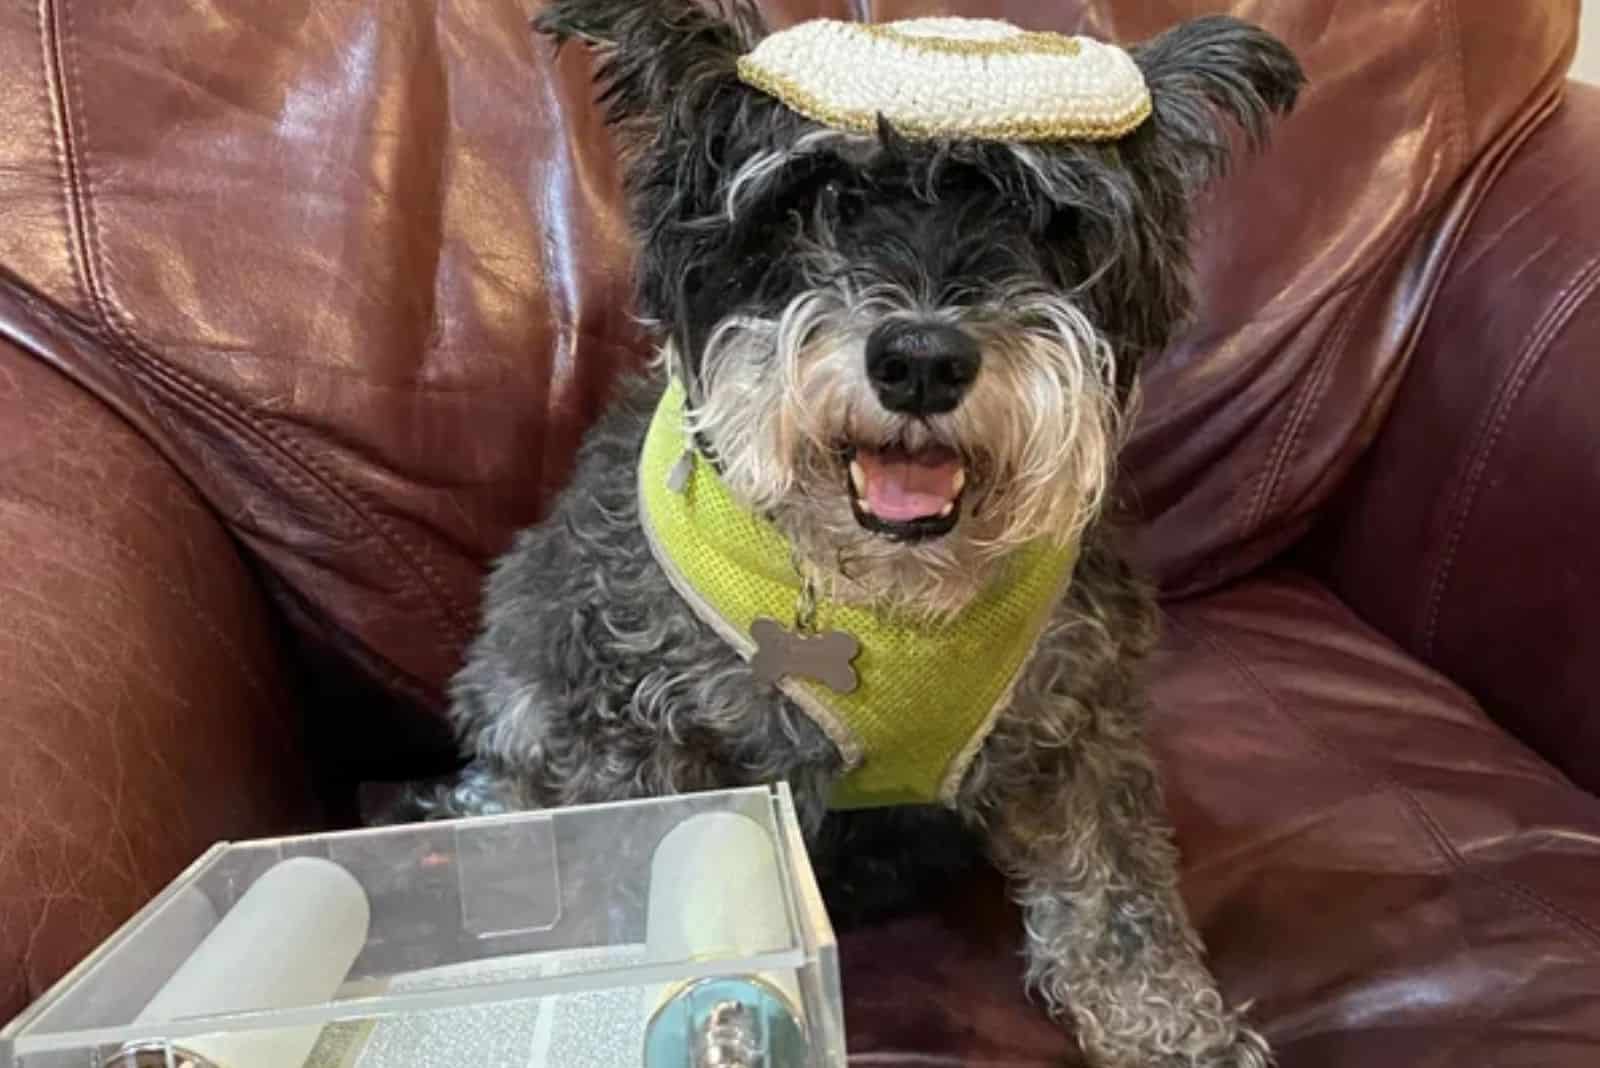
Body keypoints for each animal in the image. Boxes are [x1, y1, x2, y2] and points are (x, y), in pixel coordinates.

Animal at [422, 4, 1299, 1061]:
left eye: (1049, 221)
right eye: (815, 198)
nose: (921, 360)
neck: (886, 591)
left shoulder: (1081, 722)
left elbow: (1117, 894)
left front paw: (1173, 1029)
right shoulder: (629, 728)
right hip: (524, 686)